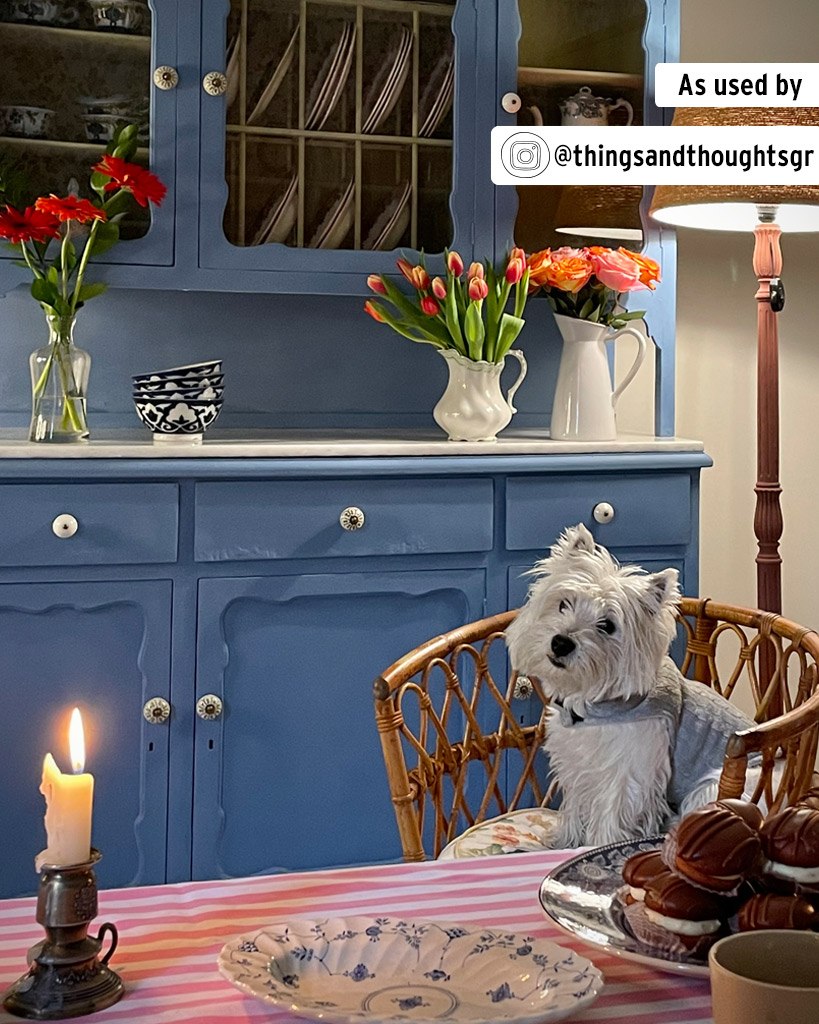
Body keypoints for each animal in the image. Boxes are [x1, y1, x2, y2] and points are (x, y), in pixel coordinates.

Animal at [505, 524, 753, 843]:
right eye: (564, 603)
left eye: (607, 625)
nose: (561, 643)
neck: (591, 703)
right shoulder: (576, 763)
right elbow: (574, 805)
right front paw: (563, 841)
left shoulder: (627, 775)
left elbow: (610, 820)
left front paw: (593, 847)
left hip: (709, 787)